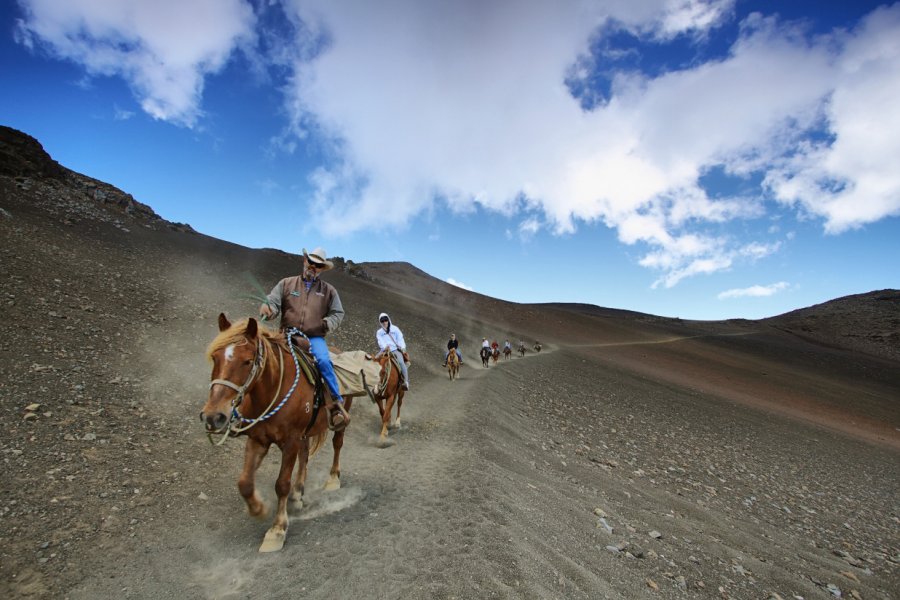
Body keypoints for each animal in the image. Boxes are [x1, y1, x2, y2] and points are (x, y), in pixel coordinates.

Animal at [200, 314, 352, 552]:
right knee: (305, 455)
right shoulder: (258, 440)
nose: (213, 416)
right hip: (305, 433)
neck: (272, 390)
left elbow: (281, 484)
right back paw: (298, 494)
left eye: (247, 361)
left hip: (340, 420)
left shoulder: (290, 442)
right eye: (215, 358)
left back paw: (333, 479)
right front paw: (258, 509)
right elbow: (244, 483)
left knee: (338, 444)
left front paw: (277, 530)